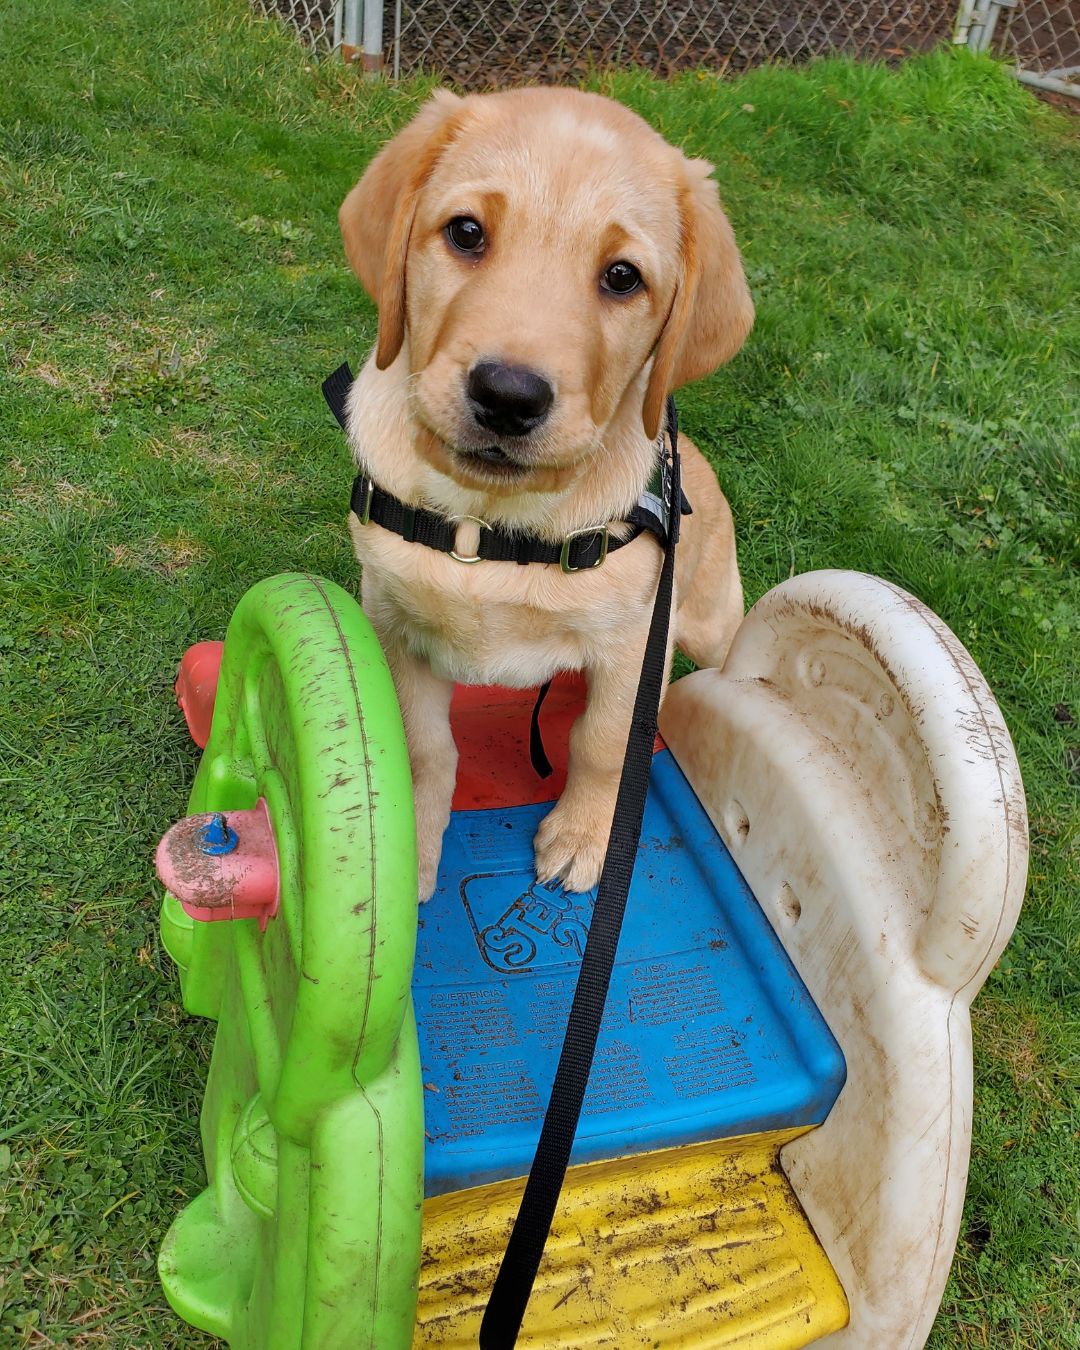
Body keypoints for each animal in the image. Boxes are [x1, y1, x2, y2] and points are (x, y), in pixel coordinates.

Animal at [337, 89, 750, 901]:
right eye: (467, 233)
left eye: (622, 277)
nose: (507, 397)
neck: (487, 524)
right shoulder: (392, 620)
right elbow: (422, 745)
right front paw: (415, 847)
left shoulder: (634, 645)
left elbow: (604, 742)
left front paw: (584, 836)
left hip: (709, 619)